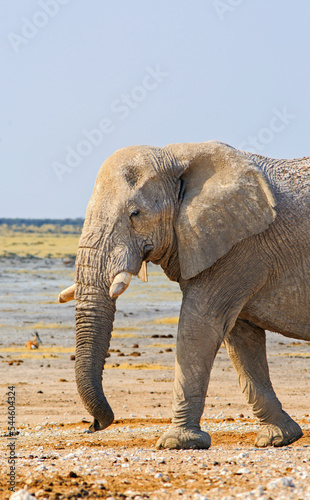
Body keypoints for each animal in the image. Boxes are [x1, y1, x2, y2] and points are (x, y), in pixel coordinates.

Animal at [59, 140, 308, 450]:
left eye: (135, 214)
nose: (92, 426)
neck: (174, 155)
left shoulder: (239, 247)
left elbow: (199, 326)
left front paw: (177, 443)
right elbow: (240, 338)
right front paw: (278, 438)